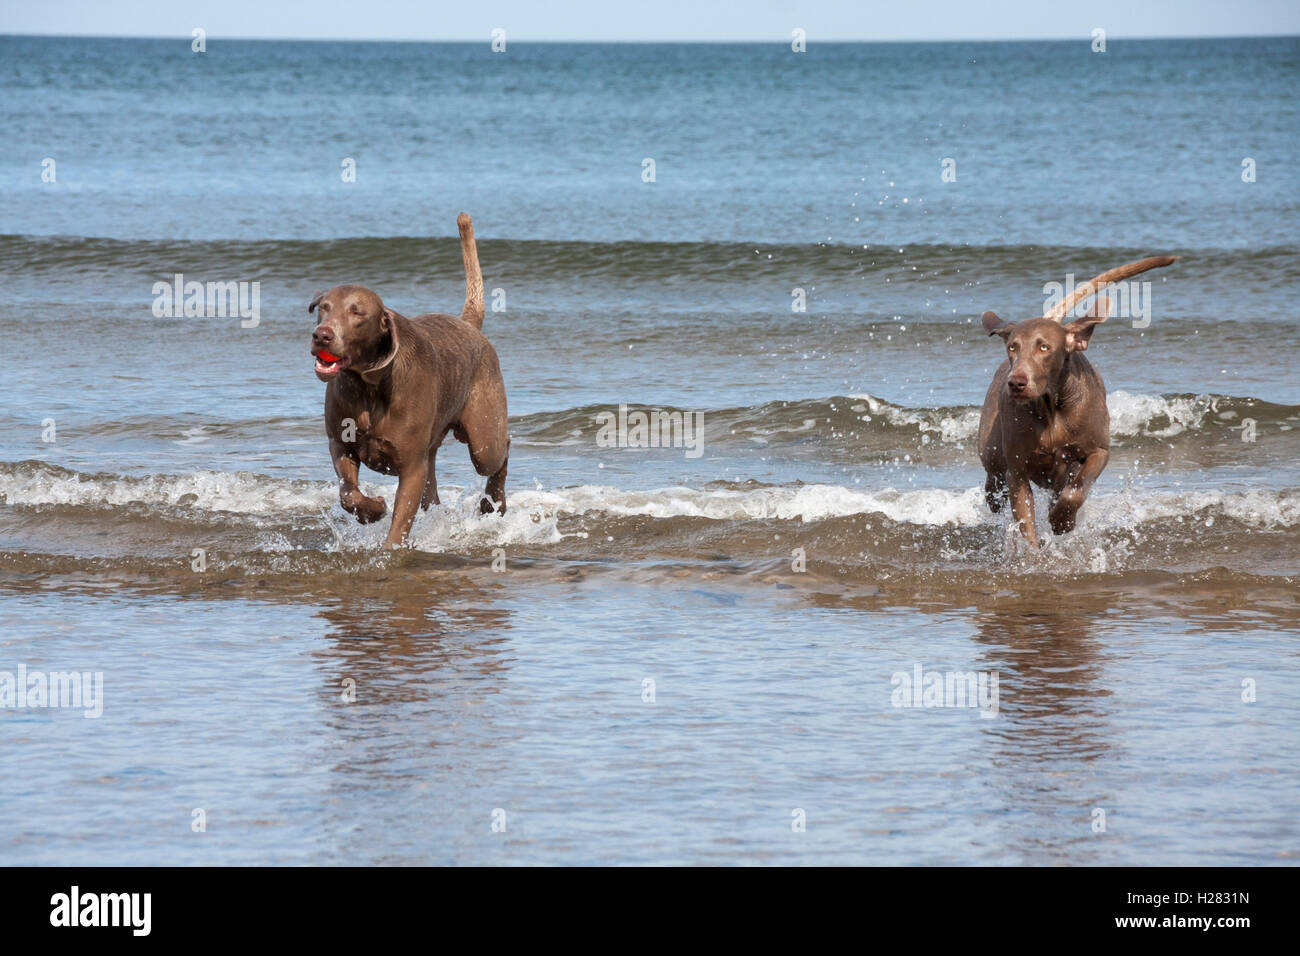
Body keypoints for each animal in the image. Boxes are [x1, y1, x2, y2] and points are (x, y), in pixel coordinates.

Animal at [308, 214, 506, 548]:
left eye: (357, 313)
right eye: (323, 308)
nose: (321, 335)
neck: (369, 386)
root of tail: (468, 324)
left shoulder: (412, 466)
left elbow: (400, 521)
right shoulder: (340, 442)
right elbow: (348, 493)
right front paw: (373, 509)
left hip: (483, 435)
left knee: (499, 453)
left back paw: (495, 501)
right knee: (432, 490)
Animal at [977, 257, 1180, 548]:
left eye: (1044, 347)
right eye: (1012, 347)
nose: (1016, 383)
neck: (1051, 409)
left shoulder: (1098, 451)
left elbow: (1075, 490)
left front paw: (1062, 521)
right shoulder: (1017, 472)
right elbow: (1026, 524)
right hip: (992, 454)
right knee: (993, 485)